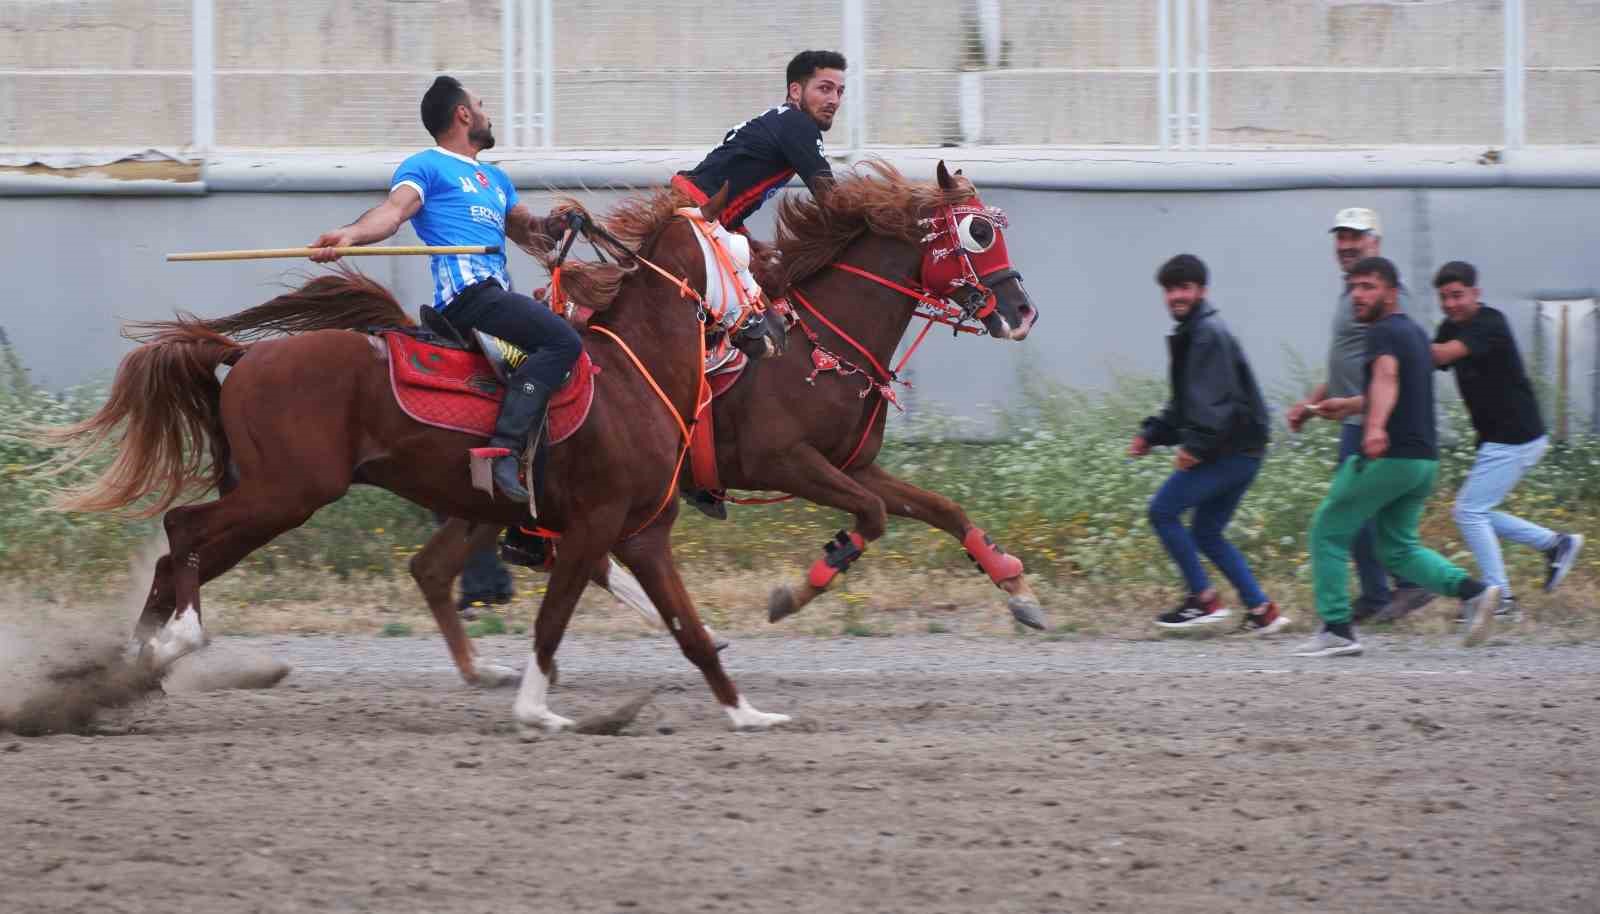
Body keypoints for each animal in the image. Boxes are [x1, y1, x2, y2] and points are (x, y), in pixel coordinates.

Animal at [34, 189, 790, 733]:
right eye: (745, 254)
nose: (775, 324)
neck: (632, 377)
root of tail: (245, 356)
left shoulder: (643, 535)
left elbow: (690, 631)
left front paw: (749, 713)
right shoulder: (590, 530)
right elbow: (552, 624)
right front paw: (536, 710)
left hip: (268, 500)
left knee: (179, 557)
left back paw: (135, 667)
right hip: (284, 494)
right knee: (183, 531)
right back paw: (171, 646)